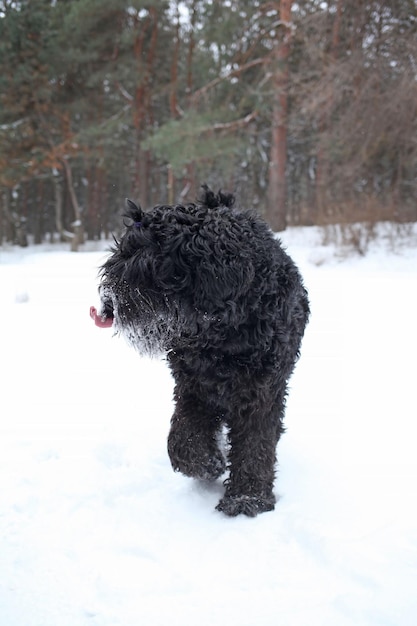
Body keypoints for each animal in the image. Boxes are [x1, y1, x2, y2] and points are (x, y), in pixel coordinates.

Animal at [92, 186, 308, 516]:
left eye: (149, 267)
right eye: (117, 261)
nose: (107, 307)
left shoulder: (262, 390)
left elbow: (255, 443)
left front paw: (247, 498)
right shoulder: (193, 386)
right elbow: (184, 438)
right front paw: (209, 464)